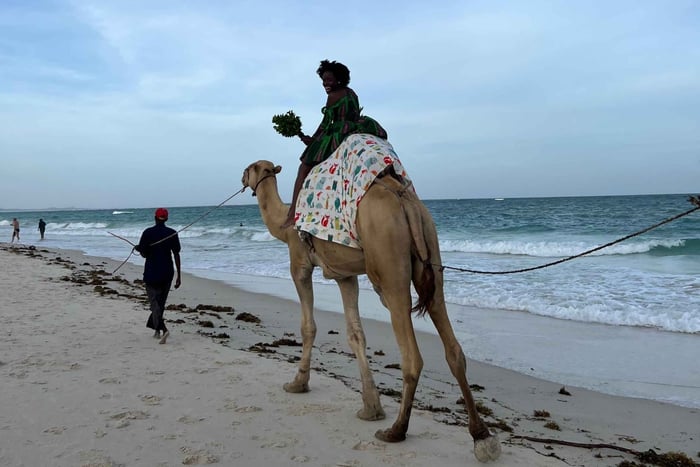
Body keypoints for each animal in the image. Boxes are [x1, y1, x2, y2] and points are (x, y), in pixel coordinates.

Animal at [241, 160, 501, 462]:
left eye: (249, 169)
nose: (242, 178)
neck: (284, 223)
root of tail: (405, 199)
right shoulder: (345, 276)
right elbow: (356, 334)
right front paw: (371, 407)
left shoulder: (300, 266)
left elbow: (309, 327)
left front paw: (298, 383)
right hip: (431, 249)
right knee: (451, 341)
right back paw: (481, 436)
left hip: (388, 264)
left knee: (411, 354)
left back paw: (396, 430)